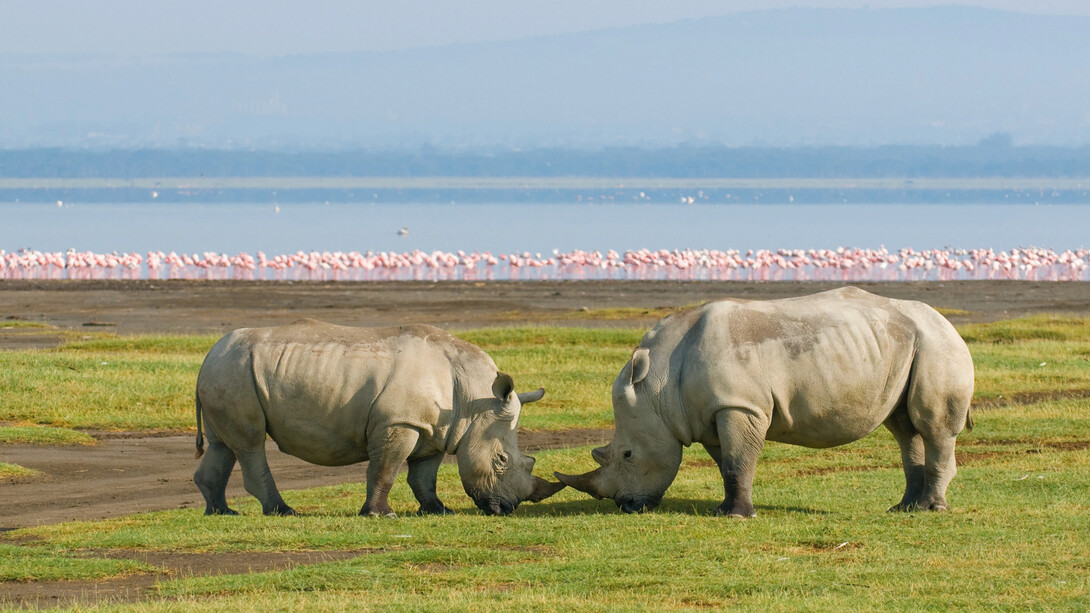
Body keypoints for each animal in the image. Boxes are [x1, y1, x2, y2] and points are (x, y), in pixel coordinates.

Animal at [194, 319, 565, 517]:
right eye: (501, 459)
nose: (507, 508)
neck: (475, 400)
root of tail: (208, 354)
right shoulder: (399, 422)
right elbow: (385, 470)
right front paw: (379, 514)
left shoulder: (435, 429)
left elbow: (424, 477)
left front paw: (438, 510)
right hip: (235, 370)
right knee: (250, 443)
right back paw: (283, 511)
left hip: (228, 369)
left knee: (223, 444)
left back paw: (221, 511)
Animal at [556, 287, 974, 516]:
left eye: (627, 455)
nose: (625, 504)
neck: (659, 385)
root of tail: (949, 323)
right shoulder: (712, 412)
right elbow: (728, 463)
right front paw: (723, 510)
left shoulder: (739, 404)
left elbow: (738, 460)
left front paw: (737, 517)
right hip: (908, 347)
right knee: (905, 428)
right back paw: (904, 509)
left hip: (937, 345)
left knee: (932, 426)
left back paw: (931, 509)